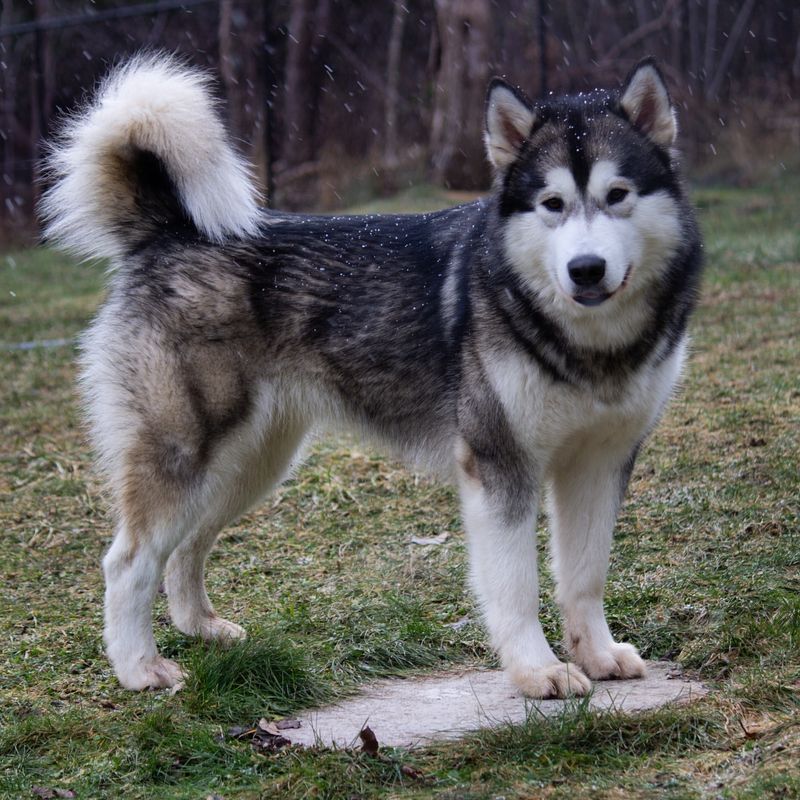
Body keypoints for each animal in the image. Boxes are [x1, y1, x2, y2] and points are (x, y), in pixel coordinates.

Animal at [39, 53, 700, 696]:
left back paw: (201, 627)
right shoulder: (499, 466)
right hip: (185, 453)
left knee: (186, 549)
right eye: (552, 204)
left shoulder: (600, 462)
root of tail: (172, 231)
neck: (586, 344)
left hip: (250, 464)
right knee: (128, 562)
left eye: (618, 194)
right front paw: (537, 672)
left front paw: (597, 655)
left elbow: (585, 575)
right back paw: (138, 668)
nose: (586, 269)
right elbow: (517, 588)